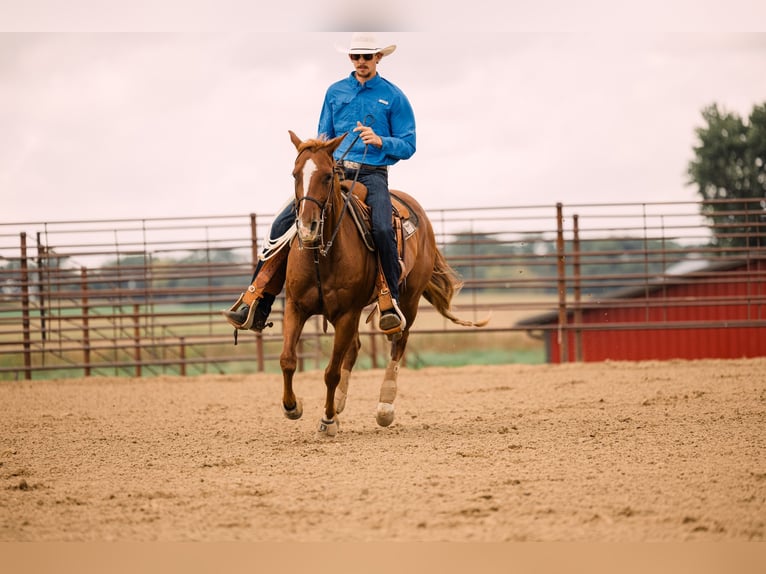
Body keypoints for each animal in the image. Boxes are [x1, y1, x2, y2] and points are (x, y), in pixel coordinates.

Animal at [279, 130, 489, 436]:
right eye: (295, 174)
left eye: (328, 176)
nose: (308, 228)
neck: (322, 255)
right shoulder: (296, 307)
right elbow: (287, 360)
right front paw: (293, 407)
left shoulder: (347, 313)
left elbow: (331, 372)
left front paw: (327, 420)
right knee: (354, 349)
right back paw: (339, 406)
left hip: (409, 300)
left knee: (398, 341)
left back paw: (384, 406)